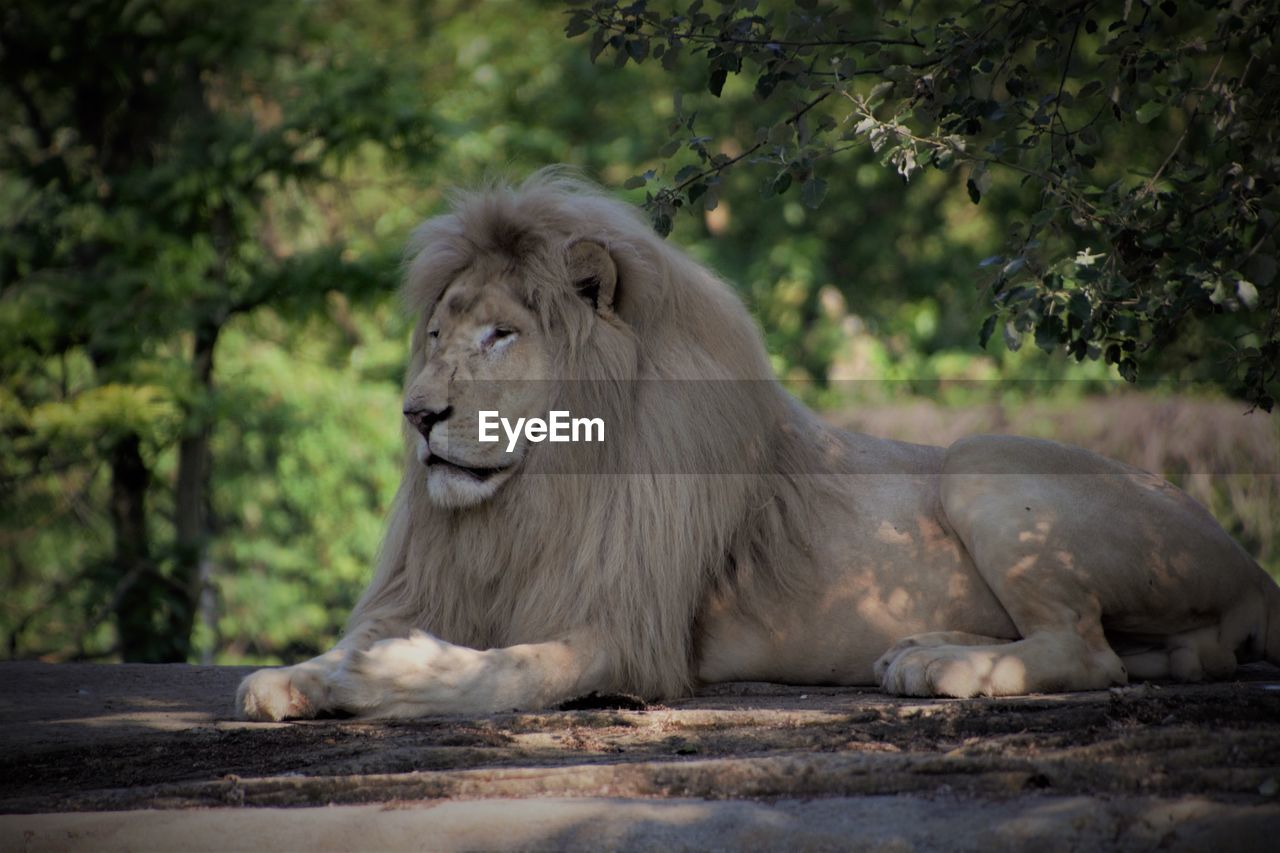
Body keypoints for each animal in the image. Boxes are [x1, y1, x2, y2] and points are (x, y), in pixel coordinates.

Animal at [235, 166, 1274, 717]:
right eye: (438, 334)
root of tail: (1255, 568)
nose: (417, 413)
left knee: (1091, 652)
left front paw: (392, 673)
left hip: (984, 459)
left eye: (500, 335)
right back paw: (928, 647)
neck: (533, 496)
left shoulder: (631, 636)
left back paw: (944, 666)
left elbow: (506, 671)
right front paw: (293, 675)